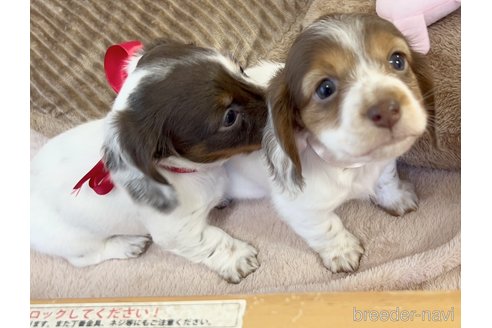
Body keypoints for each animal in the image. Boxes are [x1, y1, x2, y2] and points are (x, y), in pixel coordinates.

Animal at [29, 40, 270, 282]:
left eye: (240, 69)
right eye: (229, 117)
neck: (194, 173)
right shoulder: (179, 231)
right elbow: (215, 241)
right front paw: (237, 258)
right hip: (75, 242)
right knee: (85, 258)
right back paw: (126, 245)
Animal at [225, 13, 432, 272]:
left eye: (397, 60)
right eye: (325, 88)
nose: (386, 110)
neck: (353, 166)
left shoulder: (384, 164)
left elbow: (387, 178)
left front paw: (395, 197)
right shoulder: (299, 208)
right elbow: (326, 227)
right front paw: (341, 251)